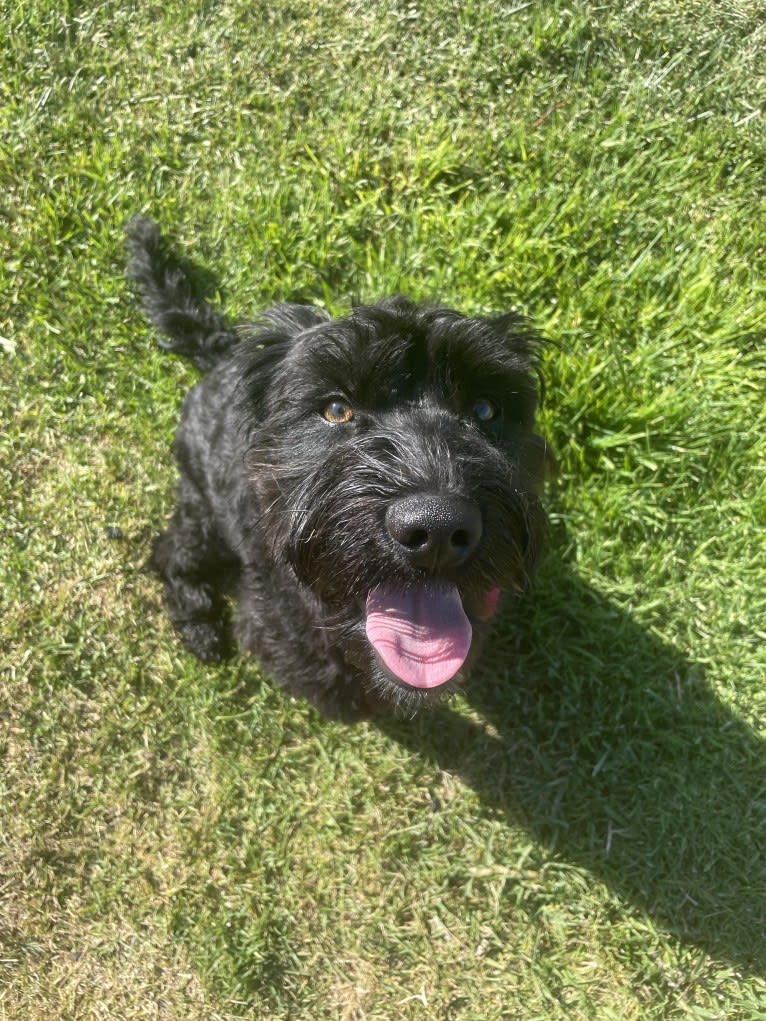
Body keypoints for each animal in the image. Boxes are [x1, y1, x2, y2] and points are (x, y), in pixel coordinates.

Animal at [126, 219, 547, 722]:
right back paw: (198, 622)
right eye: (335, 409)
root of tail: (224, 354)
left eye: (486, 408)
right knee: (171, 553)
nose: (438, 529)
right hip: (203, 510)